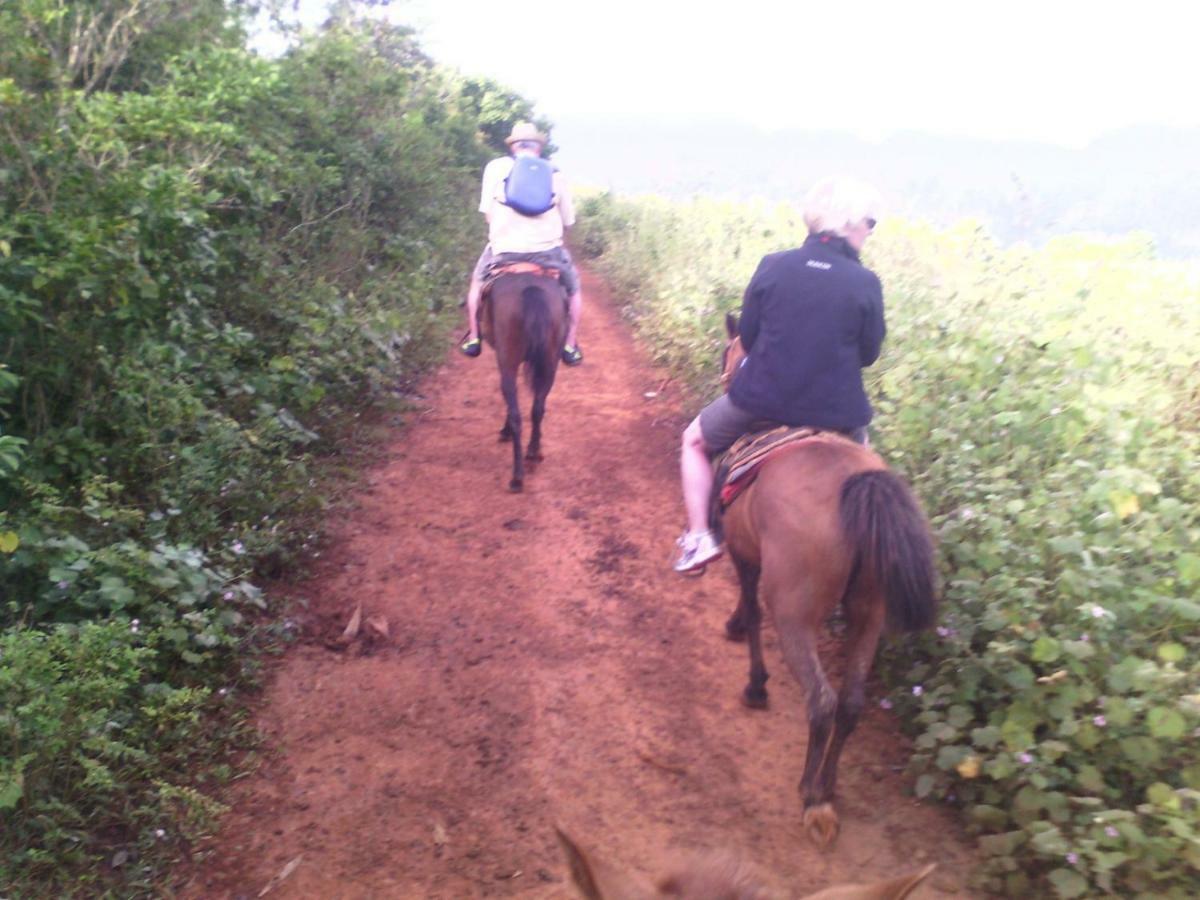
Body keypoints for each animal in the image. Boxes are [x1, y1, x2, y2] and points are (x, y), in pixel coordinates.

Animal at [477, 271, 566, 494]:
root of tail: (531, 290)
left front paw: (505, 430)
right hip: (550, 363)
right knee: (538, 408)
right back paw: (534, 452)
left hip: (508, 360)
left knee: (517, 412)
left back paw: (517, 477)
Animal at [720, 314, 936, 849]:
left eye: (727, 352)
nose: (726, 377)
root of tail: (855, 485)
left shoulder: (744, 552)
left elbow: (750, 607)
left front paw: (753, 676)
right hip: (870, 612)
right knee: (852, 703)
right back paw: (829, 786)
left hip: (795, 613)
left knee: (821, 701)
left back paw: (810, 794)